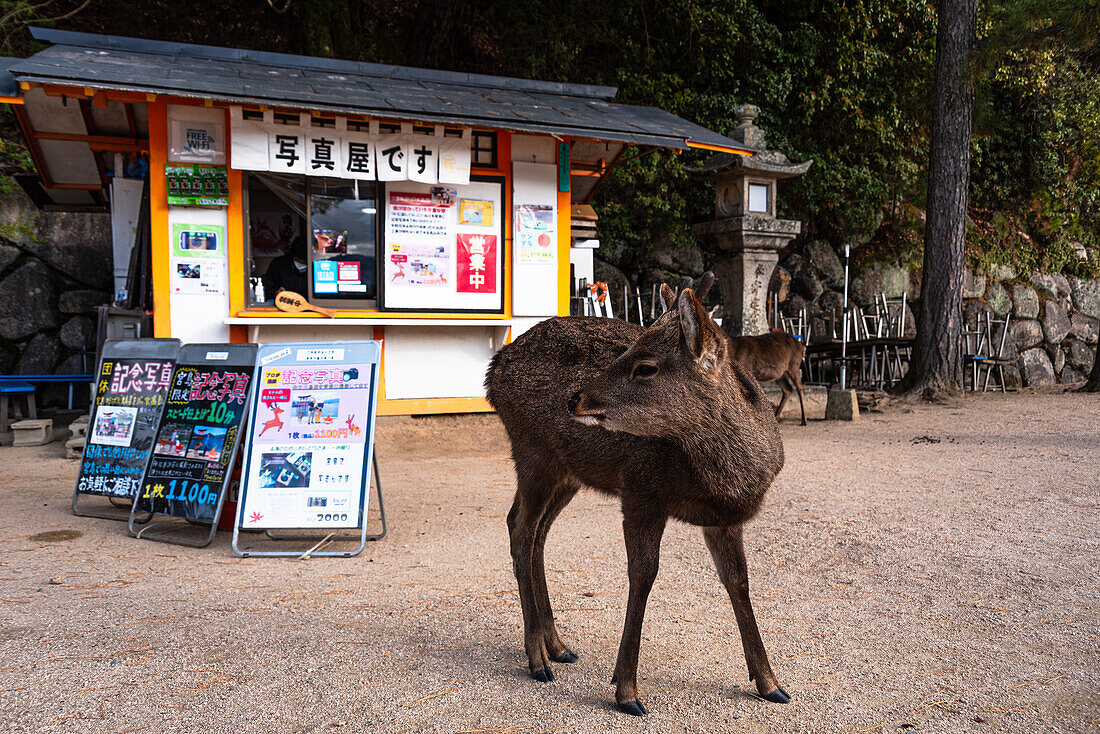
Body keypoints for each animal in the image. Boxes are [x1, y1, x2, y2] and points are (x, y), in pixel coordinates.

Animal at [488, 272, 792, 713]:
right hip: (532, 452)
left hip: (569, 472)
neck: (729, 480)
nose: (575, 397)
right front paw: (627, 690)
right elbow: (643, 575)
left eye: (645, 366)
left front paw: (770, 683)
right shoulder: (640, 492)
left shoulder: (725, 518)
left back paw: (558, 645)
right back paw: (537, 658)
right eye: (630, 346)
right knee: (519, 527)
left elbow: (739, 582)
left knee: (539, 533)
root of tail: (492, 372)